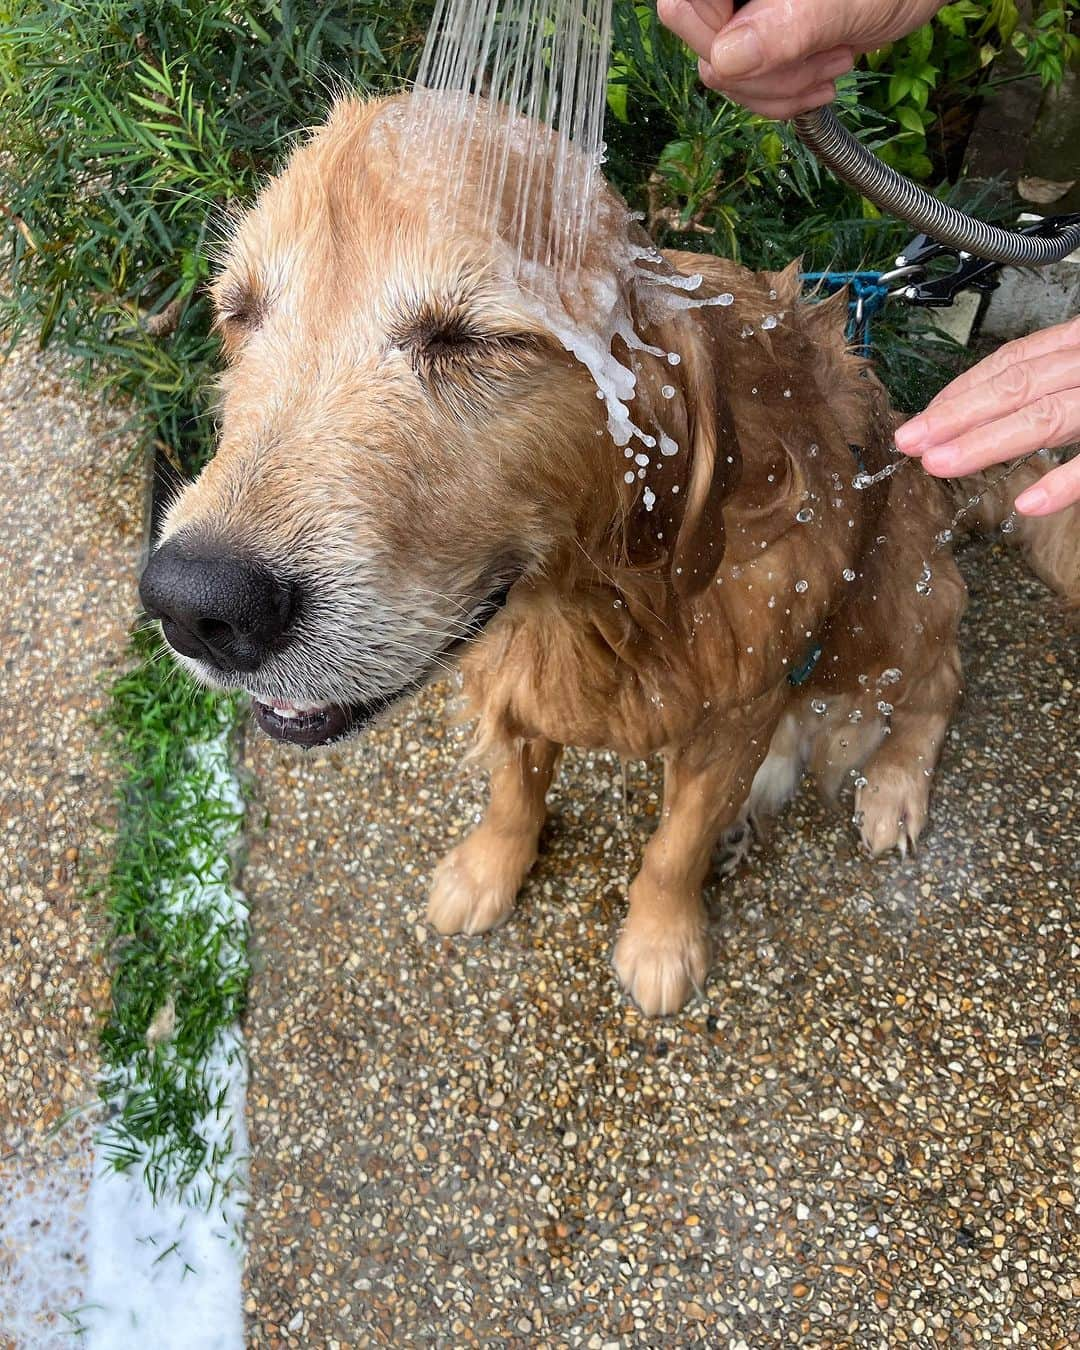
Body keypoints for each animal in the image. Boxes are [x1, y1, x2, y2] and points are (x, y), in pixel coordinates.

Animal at [141, 99, 1069, 1015]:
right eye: (238, 310)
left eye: (471, 338)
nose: (193, 604)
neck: (597, 601)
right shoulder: (507, 676)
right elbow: (514, 795)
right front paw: (488, 871)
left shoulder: (737, 711)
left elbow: (674, 846)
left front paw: (660, 941)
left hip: (884, 601)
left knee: (941, 675)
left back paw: (896, 786)